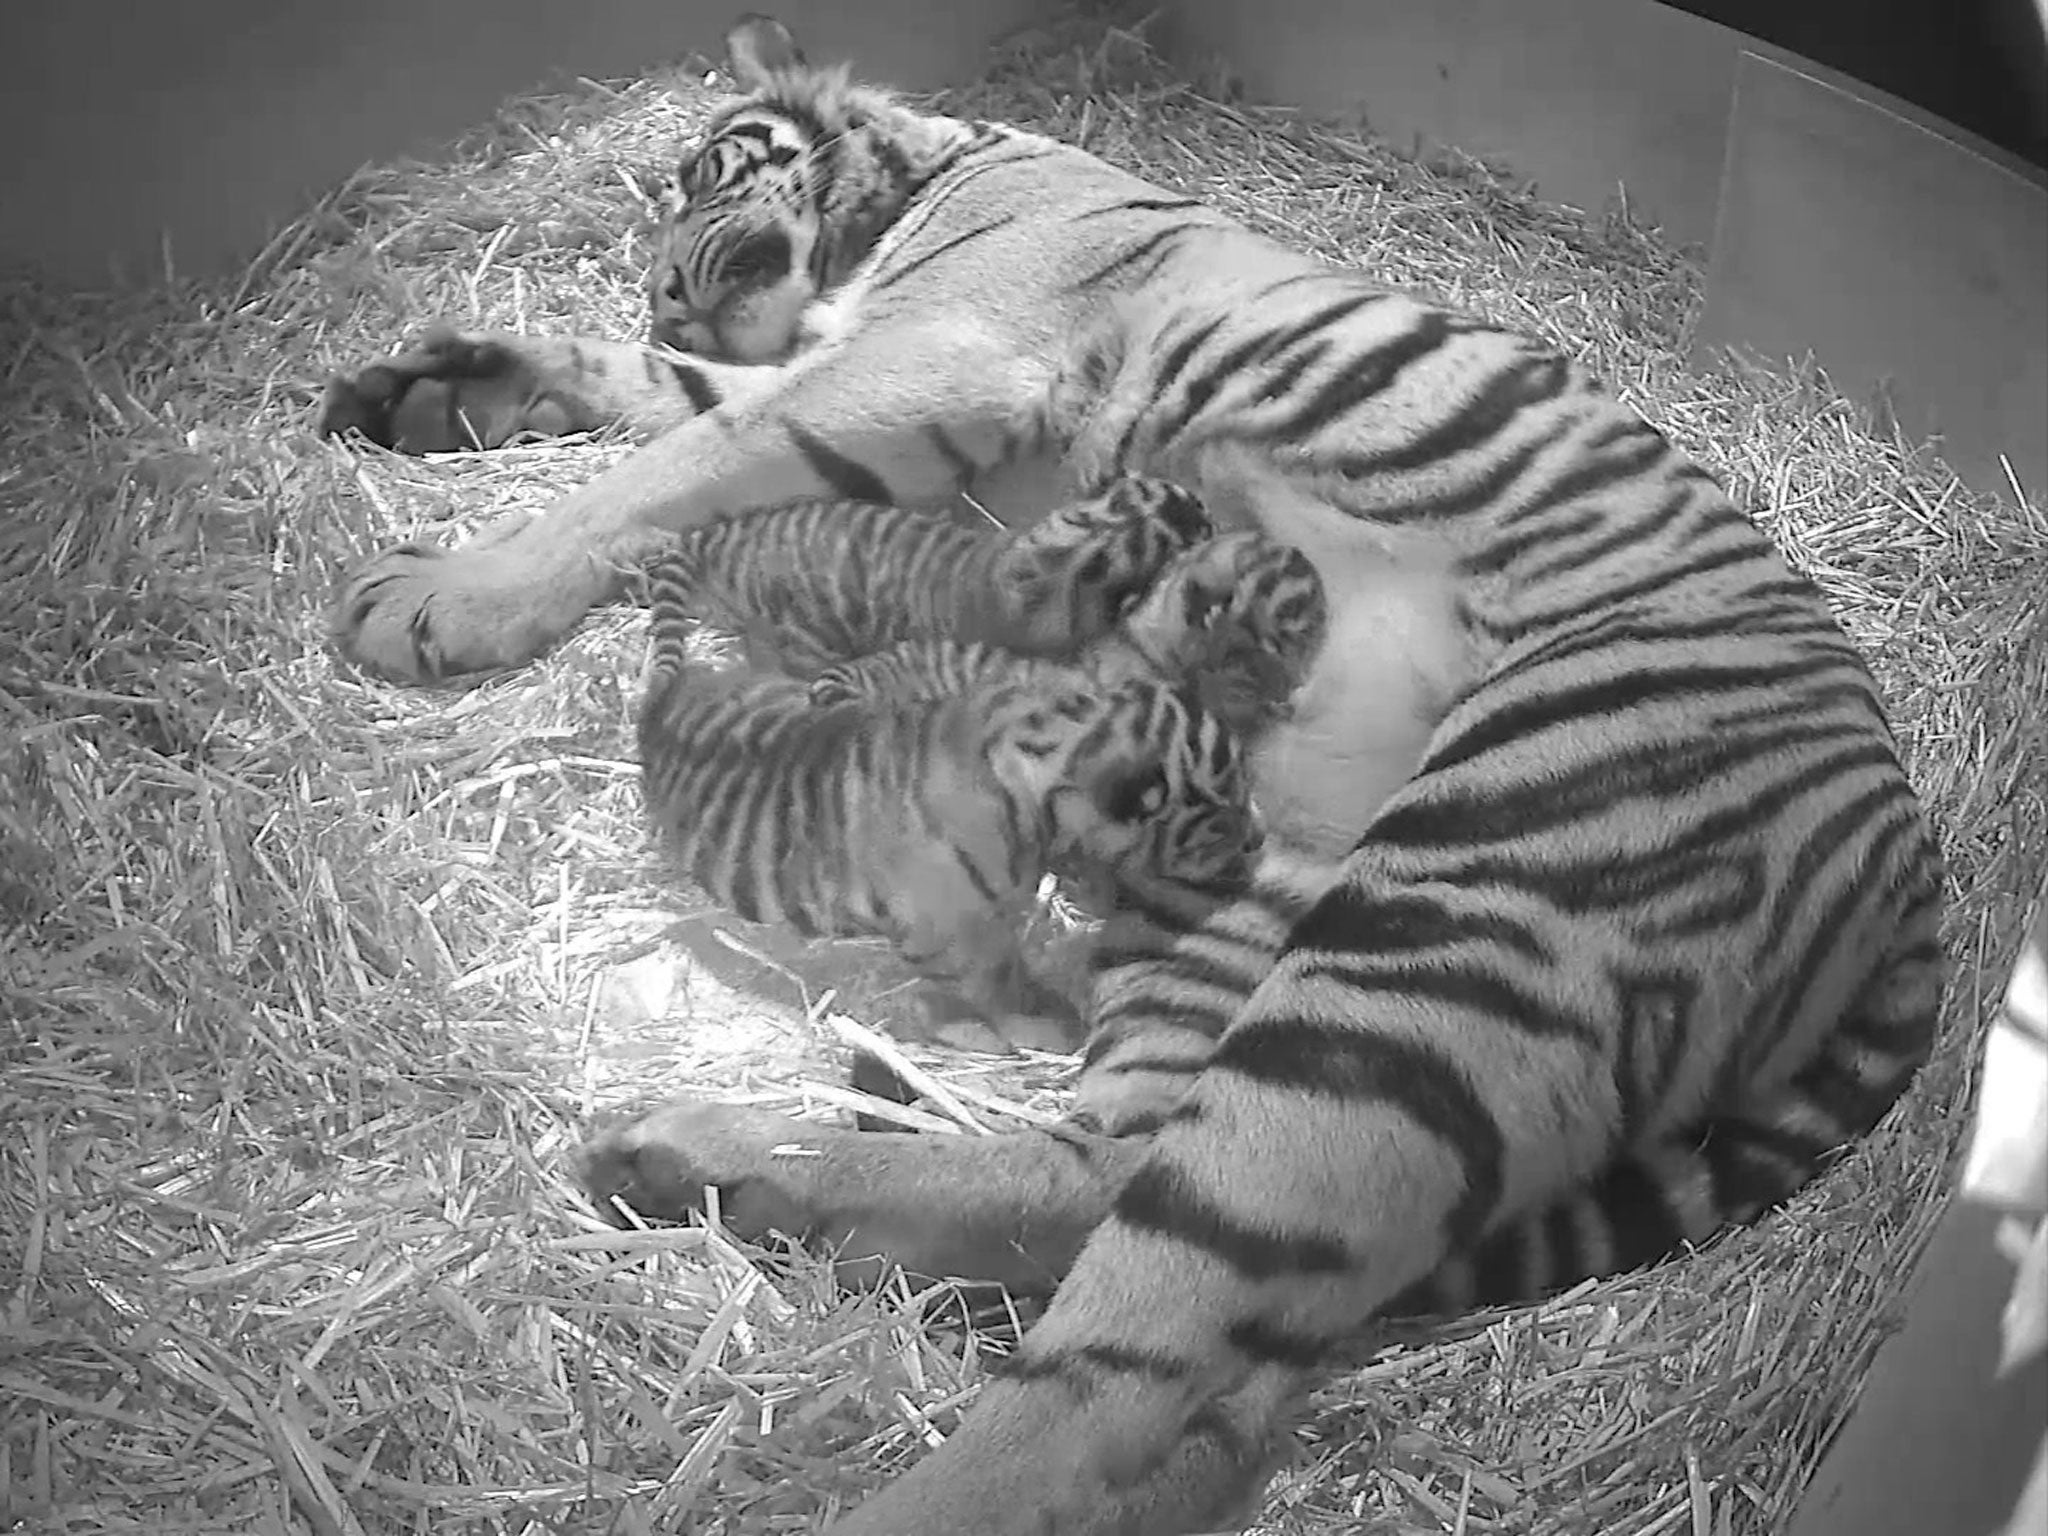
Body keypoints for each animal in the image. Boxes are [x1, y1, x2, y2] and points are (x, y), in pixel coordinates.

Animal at [315, 15, 1933, 1536]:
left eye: (703, 174)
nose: (656, 282)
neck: (925, 174)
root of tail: (1913, 853)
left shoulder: (923, 355)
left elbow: (664, 461)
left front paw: (434, 595)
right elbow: (674, 394)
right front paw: (426, 387)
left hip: (1458, 926)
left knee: (1146, 1342)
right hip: (1246, 889)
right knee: (1124, 1197)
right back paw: (708, 1164)